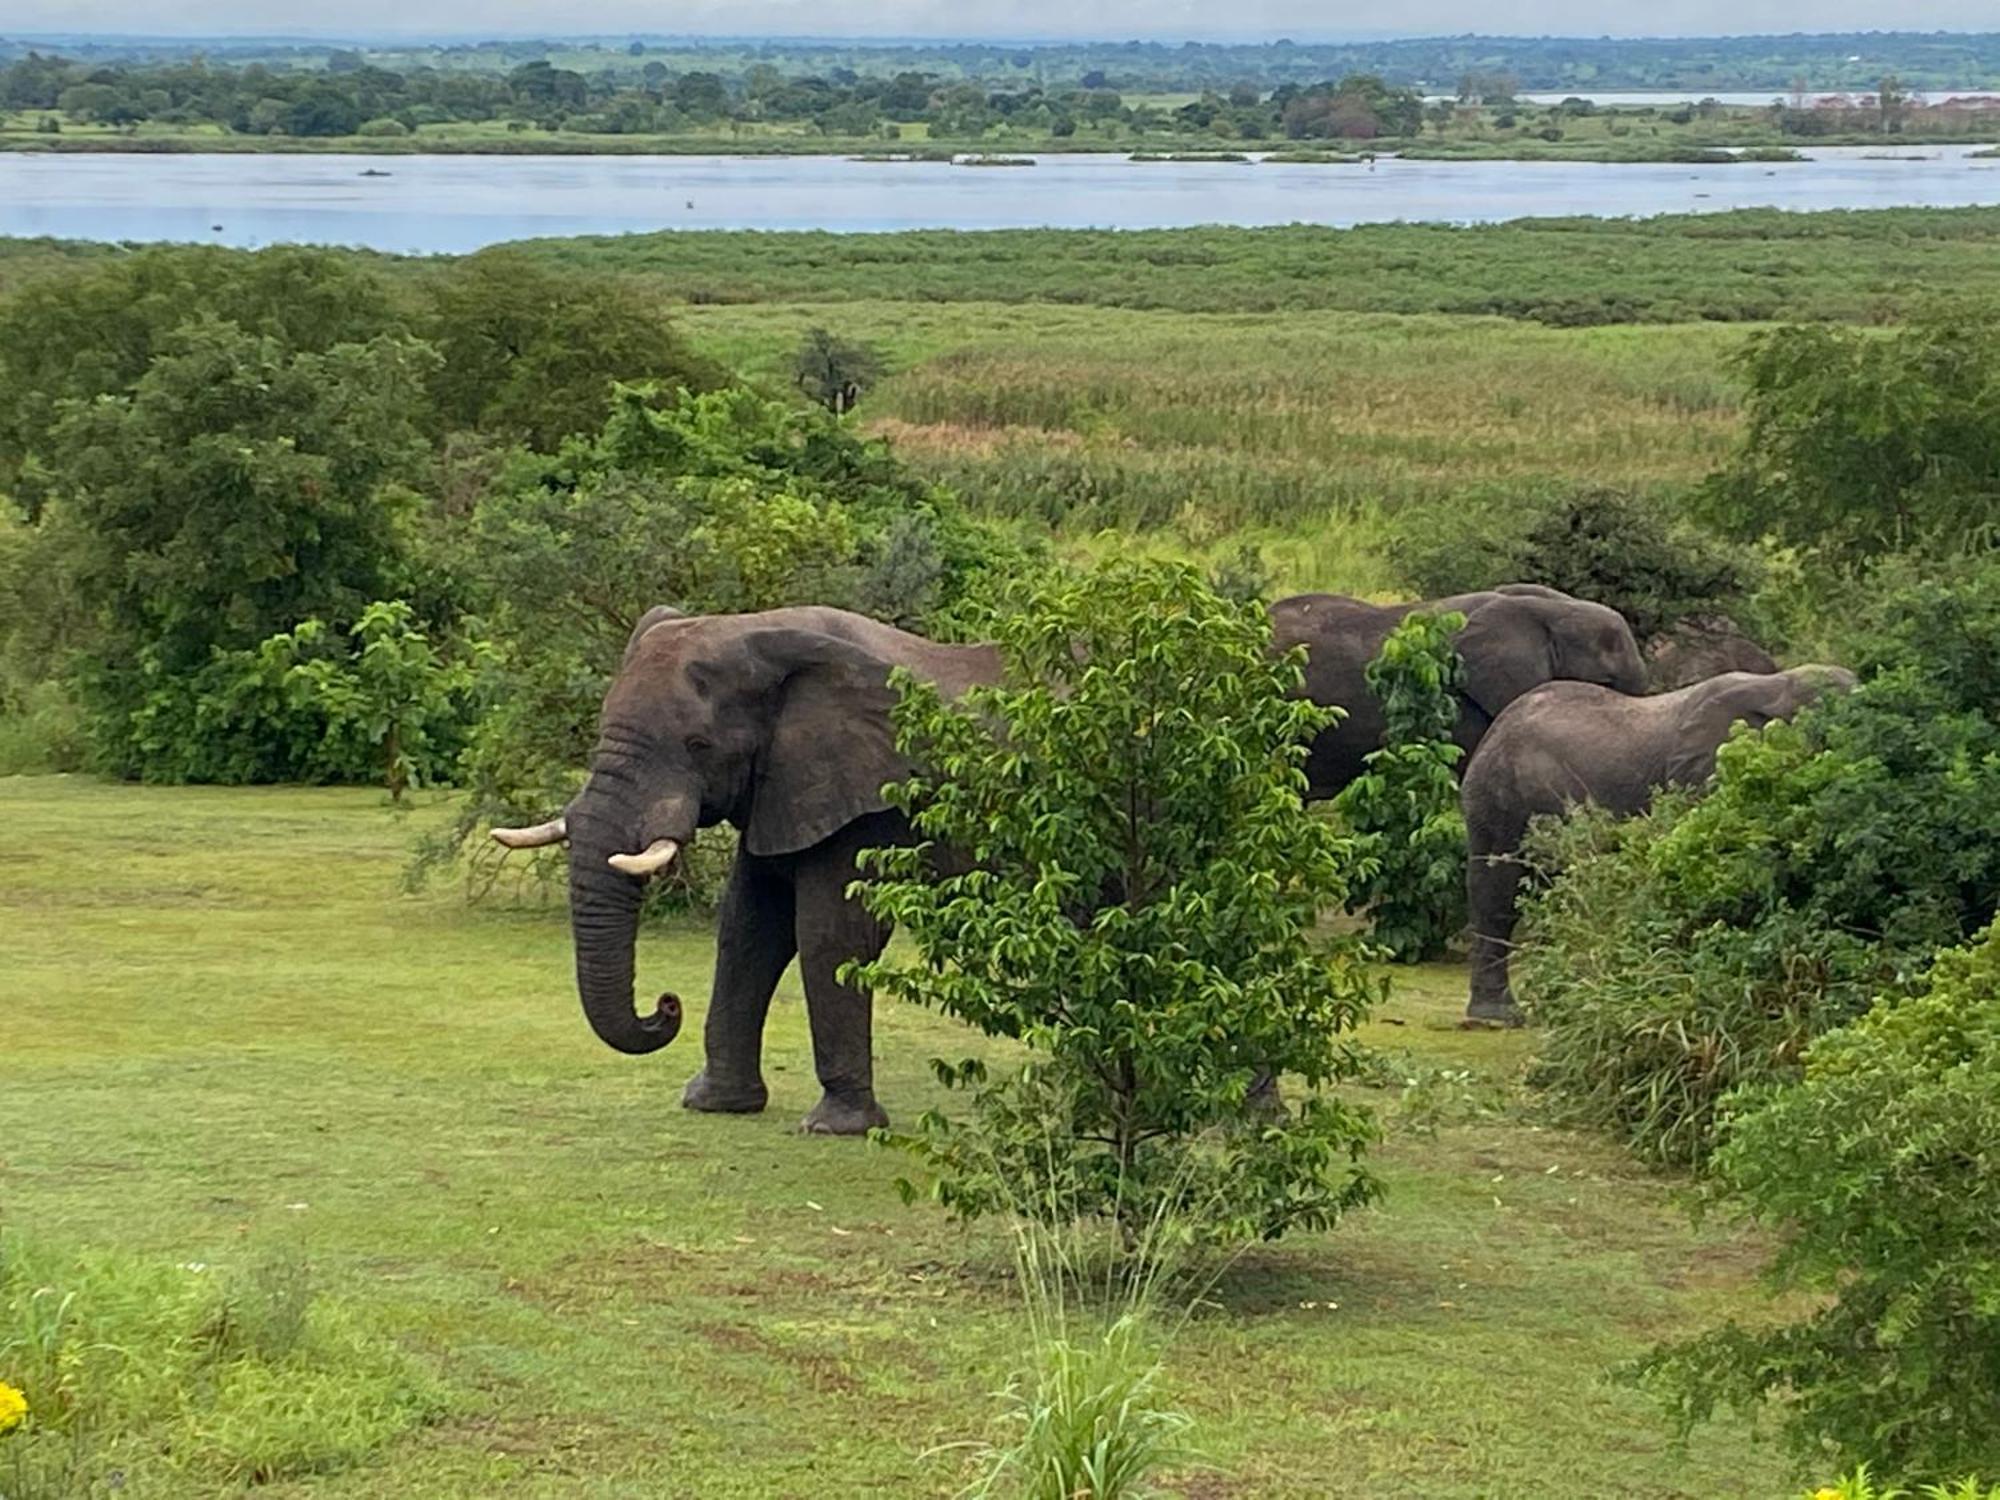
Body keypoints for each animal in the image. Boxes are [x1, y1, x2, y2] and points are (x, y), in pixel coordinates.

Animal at [486, 604, 1000, 1136]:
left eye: (698, 744)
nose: (666, 1005)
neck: (765, 630)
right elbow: (749, 928)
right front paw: (714, 1102)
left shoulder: (871, 798)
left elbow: (832, 934)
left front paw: (834, 1127)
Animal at [1456, 668, 1856, 1032]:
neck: (1776, 685)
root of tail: (1493, 732)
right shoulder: (1702, 777)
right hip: (1504, 796)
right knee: (1499, 893)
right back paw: (1500, 1018)